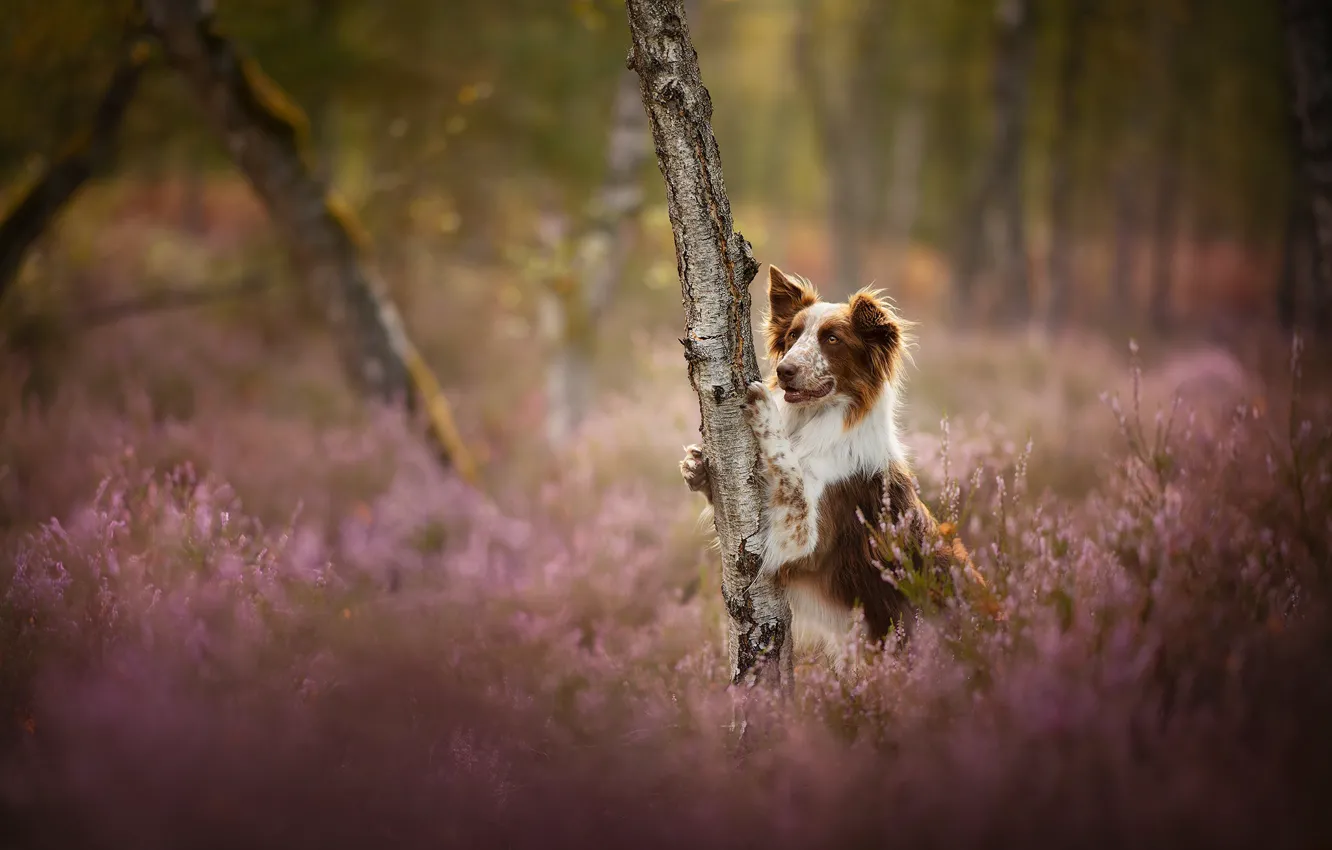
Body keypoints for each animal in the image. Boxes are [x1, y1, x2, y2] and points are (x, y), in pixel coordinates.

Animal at [681, 266, 943, 666]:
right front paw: (698, 469)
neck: (813, 423)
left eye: (832, 339)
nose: (784, 370)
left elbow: (789, 472)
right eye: (792, 335)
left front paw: (766, 410)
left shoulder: (802, 545)